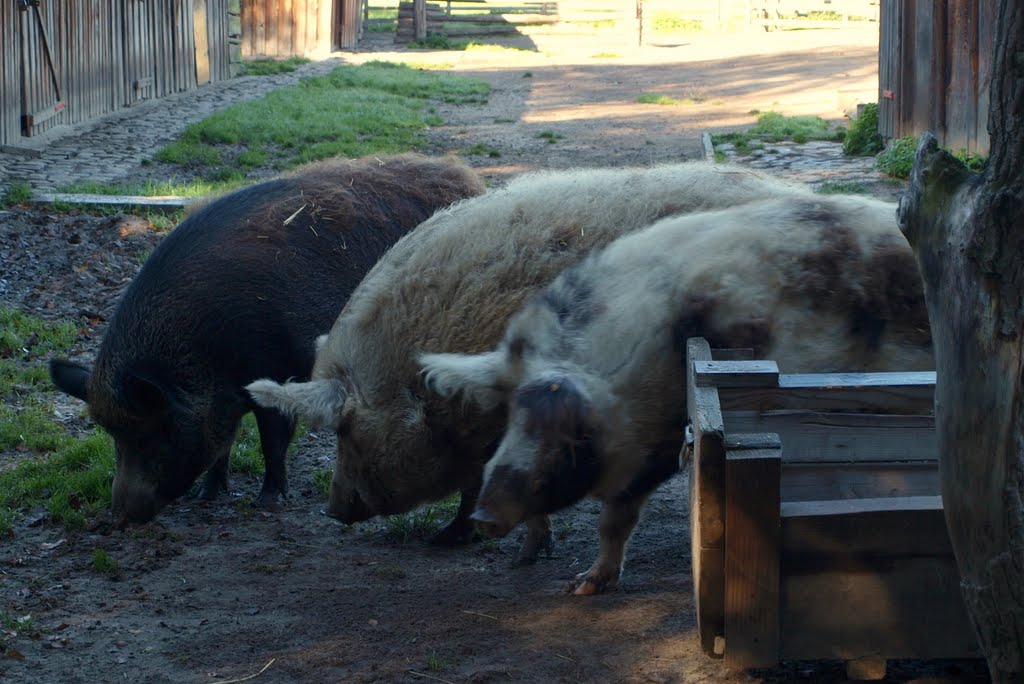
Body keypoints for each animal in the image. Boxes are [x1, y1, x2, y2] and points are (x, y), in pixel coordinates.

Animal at [44, 150, 483, 524]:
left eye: (150, 432)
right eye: (113, 435)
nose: (120, 516)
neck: (206, 356)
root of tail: (467, 177)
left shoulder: (279, 367)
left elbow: (273, 439)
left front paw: (269, 501)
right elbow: (222, 446)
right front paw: (208, 496)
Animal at [417, 193, 937, 593]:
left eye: (570, 436)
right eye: (511, 416)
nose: (484, 513)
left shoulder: (653, 446)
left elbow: (615, 518)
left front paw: (582, 586)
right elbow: (612, 520)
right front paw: (578, 586)